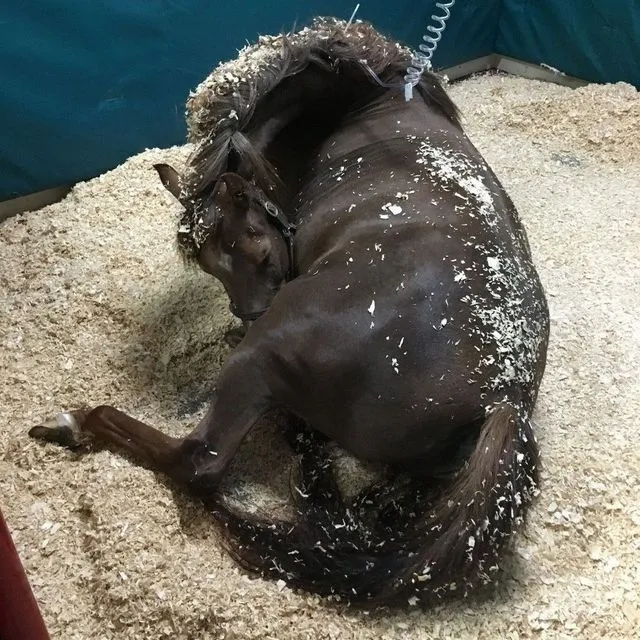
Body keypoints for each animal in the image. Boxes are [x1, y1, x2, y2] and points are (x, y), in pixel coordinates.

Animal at [29, 18, 550, 606]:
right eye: (209, 267)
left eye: (258, 253)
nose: (249, 315)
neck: (366, 104)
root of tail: (503, 401)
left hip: (257, 364)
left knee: (200, 461)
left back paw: (75, 423)